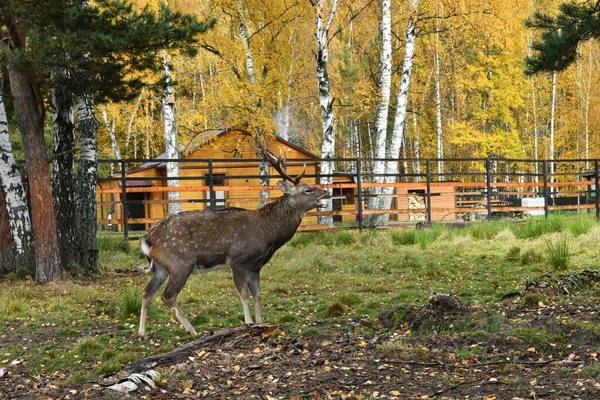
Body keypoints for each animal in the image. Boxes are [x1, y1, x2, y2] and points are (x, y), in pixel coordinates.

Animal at [137, 138, 328, 338]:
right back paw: (192, 330)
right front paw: (249, 322)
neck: (268, 233)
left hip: (159, 267)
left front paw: (262, 322)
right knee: (167, 295)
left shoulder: (256, 266)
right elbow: (243, 293)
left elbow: (257, 294)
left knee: (146, 292)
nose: (326, 192)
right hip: (180, 263)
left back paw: (142, 332)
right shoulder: (237, 259)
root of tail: (146, 238)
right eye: (308, 190)